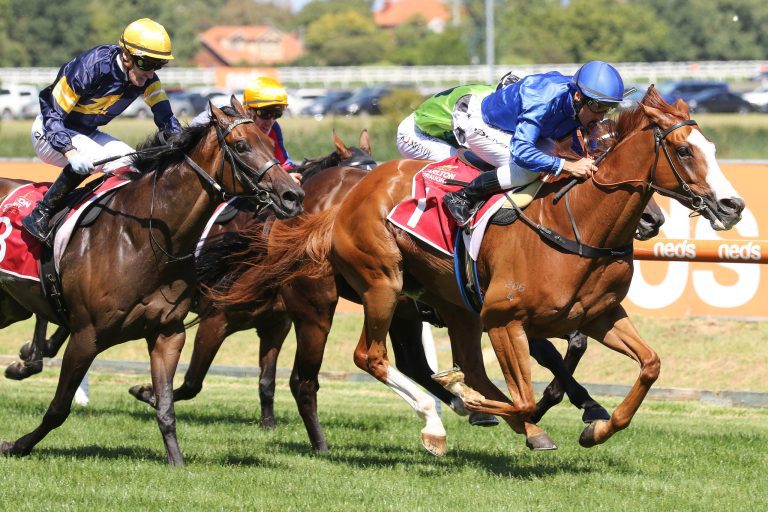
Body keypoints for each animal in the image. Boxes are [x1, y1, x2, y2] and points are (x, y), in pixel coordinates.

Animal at [0, 97, 303, 465]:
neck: (141, 240)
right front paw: (17, 445)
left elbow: (167, 407)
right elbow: (58, 409)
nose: (293, 195)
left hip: (10, 305)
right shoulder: (86, 335)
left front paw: (177, 462)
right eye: (242, 145)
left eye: (270, 145)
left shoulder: (167, 332)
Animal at [229, 86, 743, 455]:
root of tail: (344, 199)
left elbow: (648, 365)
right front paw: (504, 408)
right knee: (365, 359)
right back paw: (437, 419)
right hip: (374, 287)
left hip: (447, 305)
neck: (577, 221)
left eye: (712, 146)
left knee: (451, 365)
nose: (731, 205)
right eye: (684, 151)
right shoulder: (504, 318)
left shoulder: (599, 316)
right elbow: (525, 391)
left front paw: (595, 427)